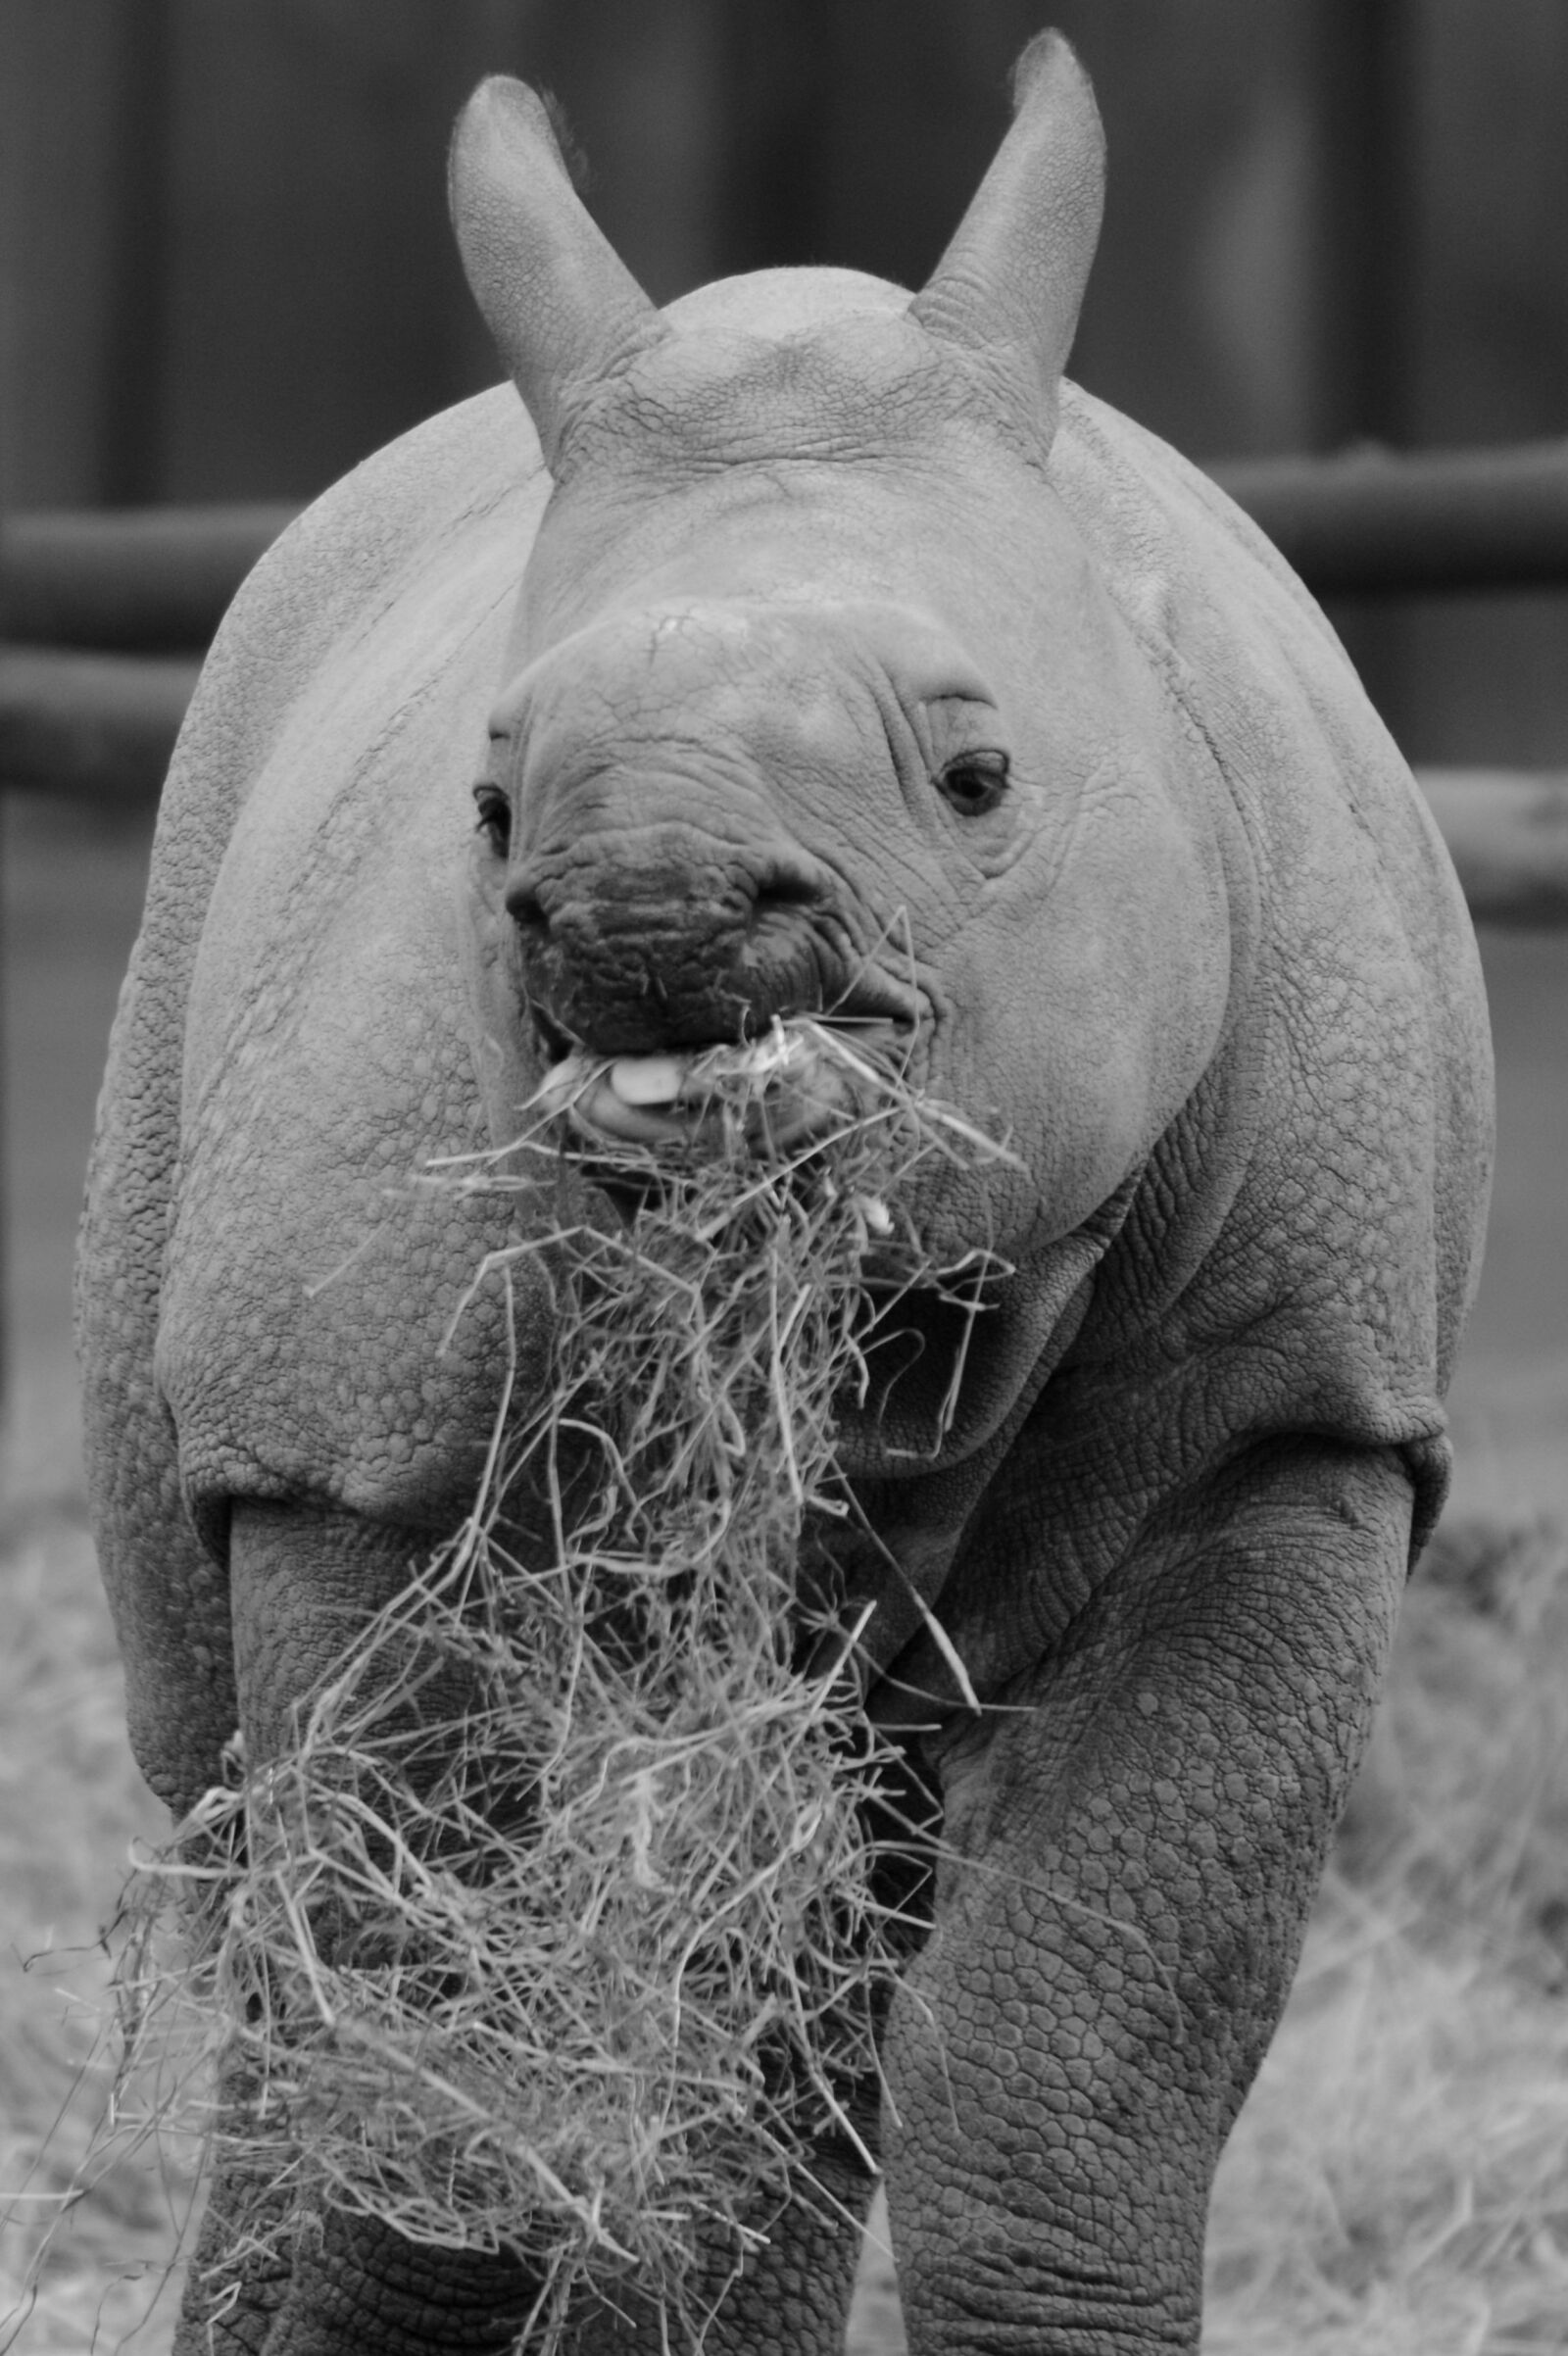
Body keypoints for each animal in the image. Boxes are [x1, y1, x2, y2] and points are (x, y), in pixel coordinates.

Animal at [79, 31, 1492, 2356]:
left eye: (979, 776)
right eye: (488, 810)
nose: (638, 902)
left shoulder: (1292, 1401)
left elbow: (1072, 2053)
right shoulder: (355, 1433)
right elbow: (425, 2026)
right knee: (260, 1885)